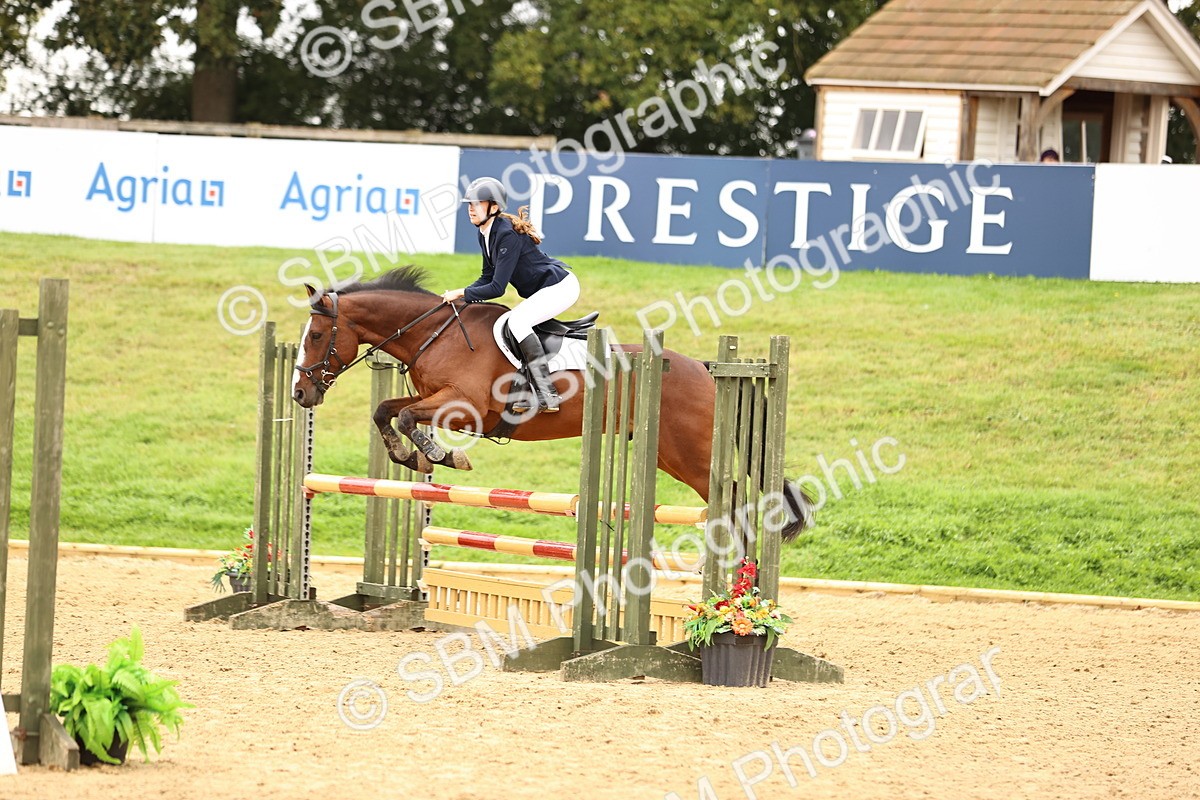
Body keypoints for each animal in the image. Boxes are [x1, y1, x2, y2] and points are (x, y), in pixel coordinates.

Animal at [290, 266, 812, 542]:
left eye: (316, 336)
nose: (300, 394)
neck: (433, 334)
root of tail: (708, 370)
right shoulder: (434, 397)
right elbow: (388, 410)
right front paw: (413, 456)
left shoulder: (465, 405)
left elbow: (402, 414)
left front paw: (440, 454)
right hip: (668, 455)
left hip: (693, 456)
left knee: (737, 502)